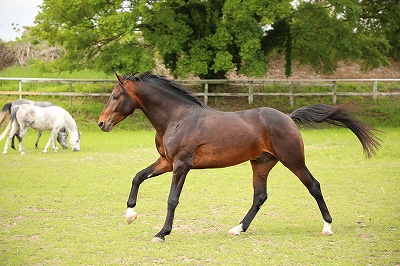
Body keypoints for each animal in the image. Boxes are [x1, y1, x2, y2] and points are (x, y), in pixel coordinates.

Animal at [98, 71, 380, 242]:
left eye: (116, 96)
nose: (102, 123)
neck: (177, 118)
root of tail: (288, 118)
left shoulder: (181, 165)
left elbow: (172, 200)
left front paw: (162, 233)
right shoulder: (166, 162)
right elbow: (137, 177)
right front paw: (130, 215)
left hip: (293, 161)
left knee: (314, 186)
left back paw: (327, 227)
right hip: (261, 164)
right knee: (260, 196)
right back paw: (238, 228)